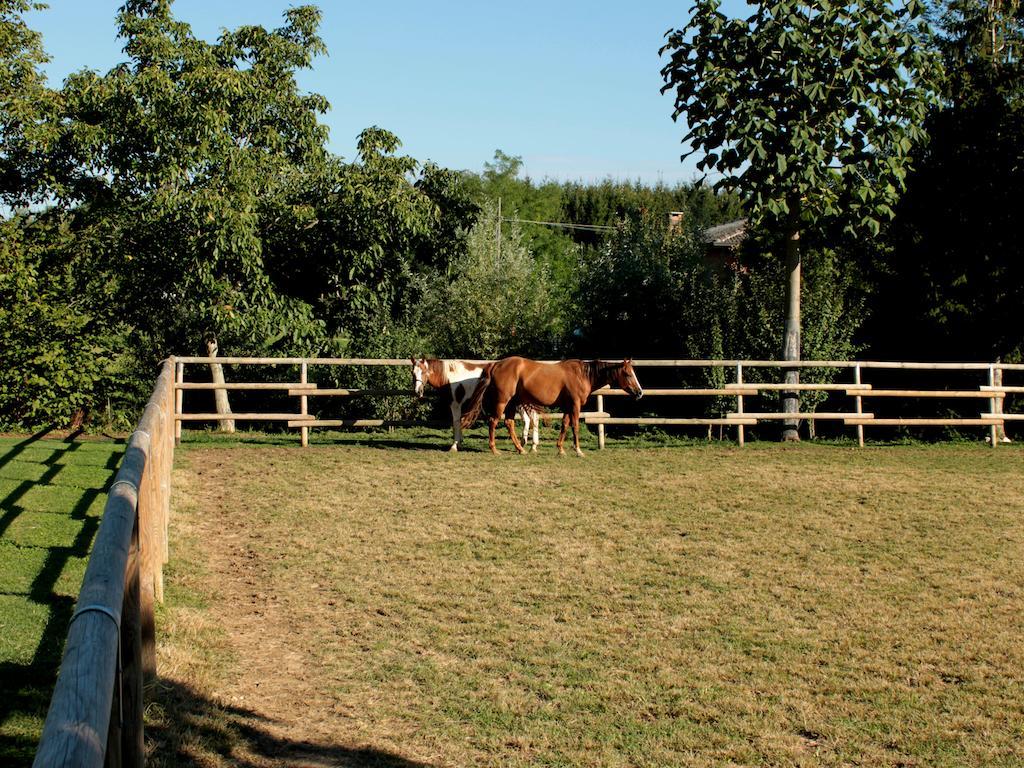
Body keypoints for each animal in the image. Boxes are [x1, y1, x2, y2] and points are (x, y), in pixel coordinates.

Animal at [468, 360, 638, 460]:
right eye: (628, 374)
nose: (639, 392)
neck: (582, 375)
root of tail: (496, 364)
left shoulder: (568, 406)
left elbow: (564, 425)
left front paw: (561, 449)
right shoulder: (575, 405)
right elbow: (575, 426)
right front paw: (578, 451)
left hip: (512, 403)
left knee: (509, 423)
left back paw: (520, 449)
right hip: (503, 402)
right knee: (493, 421)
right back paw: (494, 450)